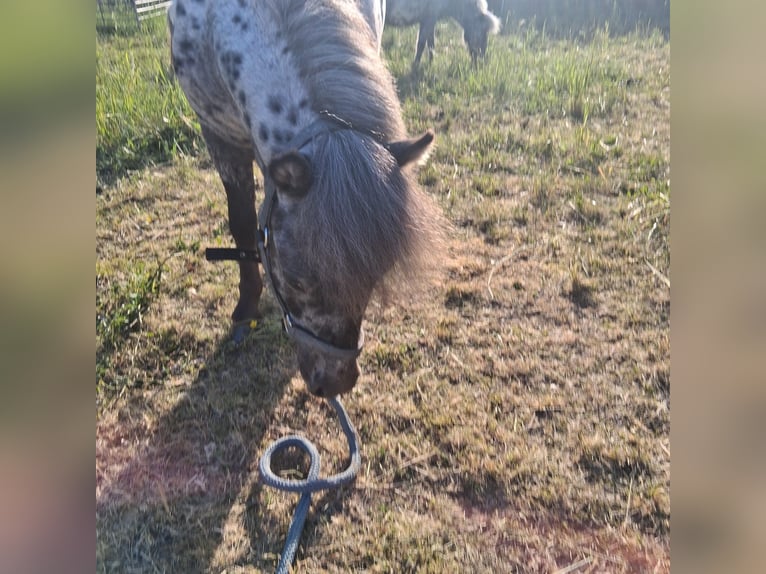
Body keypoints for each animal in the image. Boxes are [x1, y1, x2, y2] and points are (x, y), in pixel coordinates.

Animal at [168, 0, 443, 398]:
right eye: (297, 282)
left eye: (377, 275)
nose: (336, 382)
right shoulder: (219, 135)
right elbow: (242, 224)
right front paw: (245, 310)